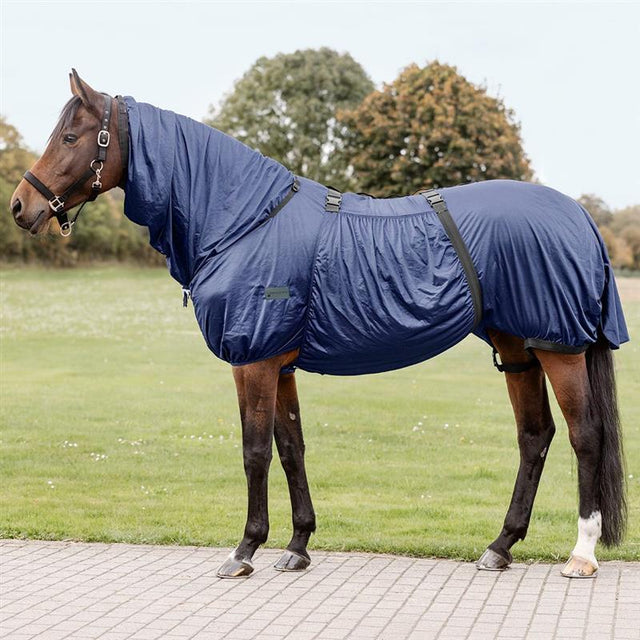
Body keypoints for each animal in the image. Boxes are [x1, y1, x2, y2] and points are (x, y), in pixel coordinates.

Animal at [10, 70, 628, 580]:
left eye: (71, 138)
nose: (20, 206)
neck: (245, 219)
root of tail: (579, 214)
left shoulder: (253, 360)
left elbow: (254, 450)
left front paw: (244, 550)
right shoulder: (279, 364)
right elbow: (291, 447)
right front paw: (298, 546)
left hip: (560, 348)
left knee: (585, 435)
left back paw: (581, 554)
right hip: (518, 349)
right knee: (535, 436)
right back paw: (500, 547)